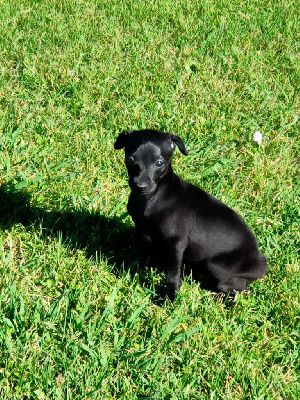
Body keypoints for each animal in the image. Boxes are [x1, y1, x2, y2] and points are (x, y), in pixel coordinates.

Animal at [115, 130, 268, 302]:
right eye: (130, 160)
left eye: (159, 163)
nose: (140, 186)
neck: (153, 196)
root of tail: (260, 260)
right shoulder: (143, 232)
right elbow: (144, 253)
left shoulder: (176, 243)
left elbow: (172, 274)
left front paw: (169, 298)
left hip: (216, 266)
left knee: (238, 288)